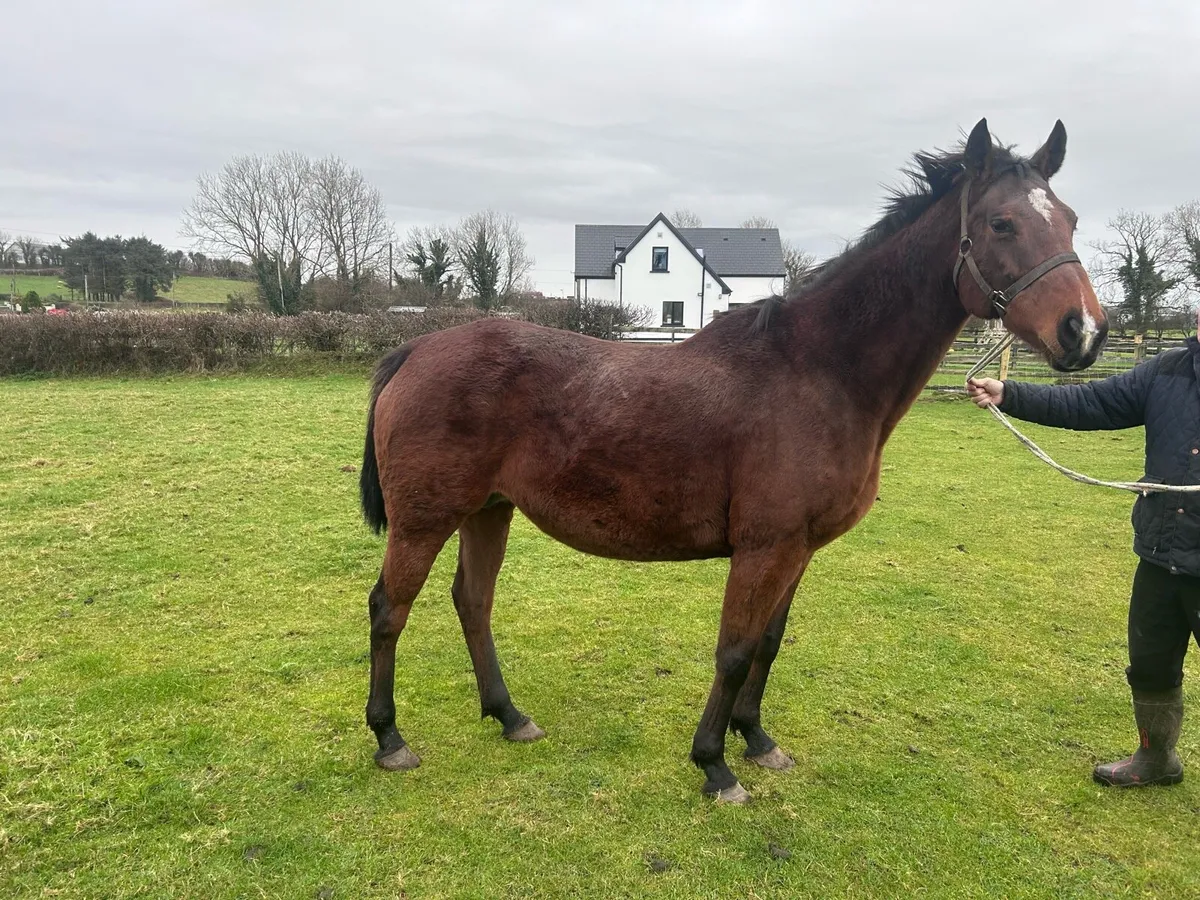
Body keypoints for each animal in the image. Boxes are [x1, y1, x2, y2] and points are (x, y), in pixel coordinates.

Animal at [357, 118, 1106, 803]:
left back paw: (509, 715)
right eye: (1003, 223)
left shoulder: (799, 549)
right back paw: (390, 739)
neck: (819, 371)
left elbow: (768, 646)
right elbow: (735, 649)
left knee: (472, 601)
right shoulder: (764, 547)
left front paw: (757, 740)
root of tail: (413, 351)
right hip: (424, 520)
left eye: (1069, 219)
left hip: (488, 510)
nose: (1084, 332)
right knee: (390, 608)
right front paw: (714, 765)